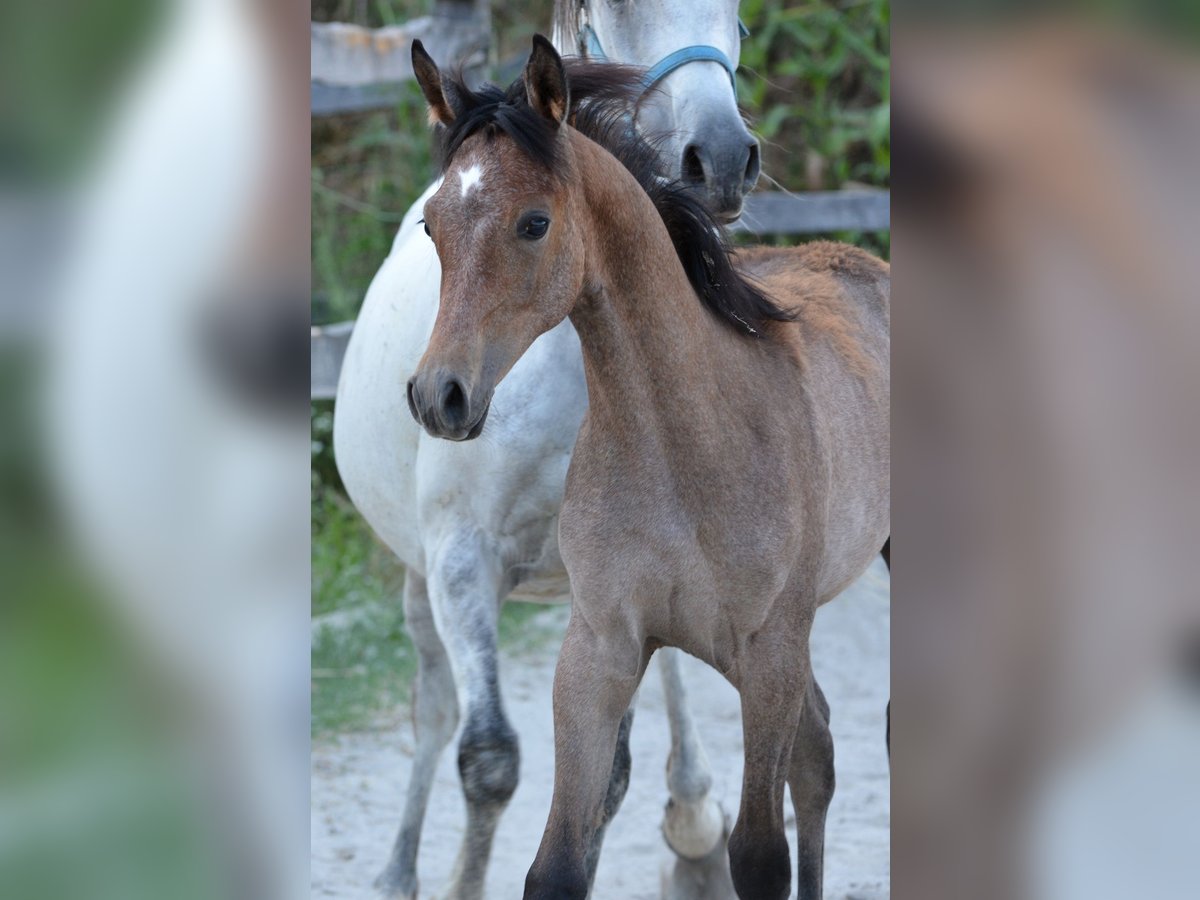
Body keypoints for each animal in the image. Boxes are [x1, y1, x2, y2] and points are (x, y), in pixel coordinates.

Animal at [333, 3, 758, 898]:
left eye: (738, 13)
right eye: (610, 13)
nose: (720, 157)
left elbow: (607, 775)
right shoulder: (460, 560)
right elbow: (487, 758)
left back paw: (695, 825)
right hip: (421, 578)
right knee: (432, 709)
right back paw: (396, 871)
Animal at [407, 37, 889, 900]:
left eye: (534, 223)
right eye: (432, 224)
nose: (440, 396)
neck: (684, 442)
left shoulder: (768, 650)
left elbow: (758, 857)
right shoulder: (599, 652)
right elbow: (557, 867)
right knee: (818, 756)